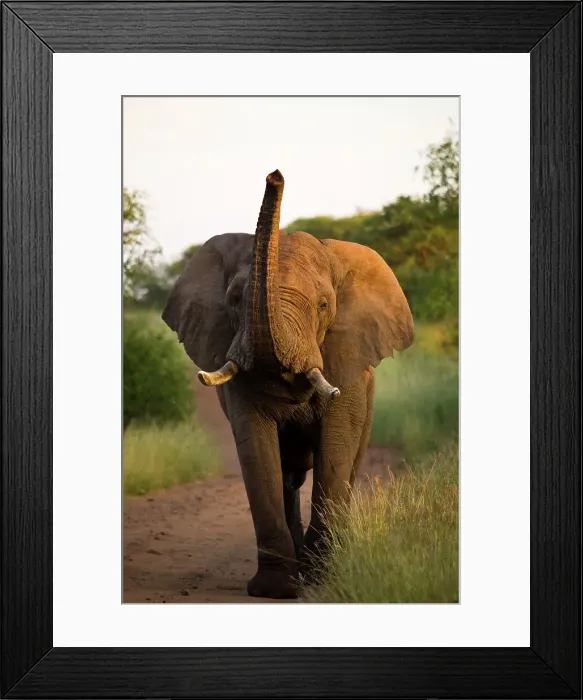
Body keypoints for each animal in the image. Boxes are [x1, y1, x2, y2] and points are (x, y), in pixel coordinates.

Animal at [162, 169, 414, 599]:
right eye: (234, 300)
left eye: (324, 306)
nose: (275, 175)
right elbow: (259, 453)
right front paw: (276, 588)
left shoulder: (345, 358)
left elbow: (335, 448)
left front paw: (322, 578)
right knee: (287, 477)